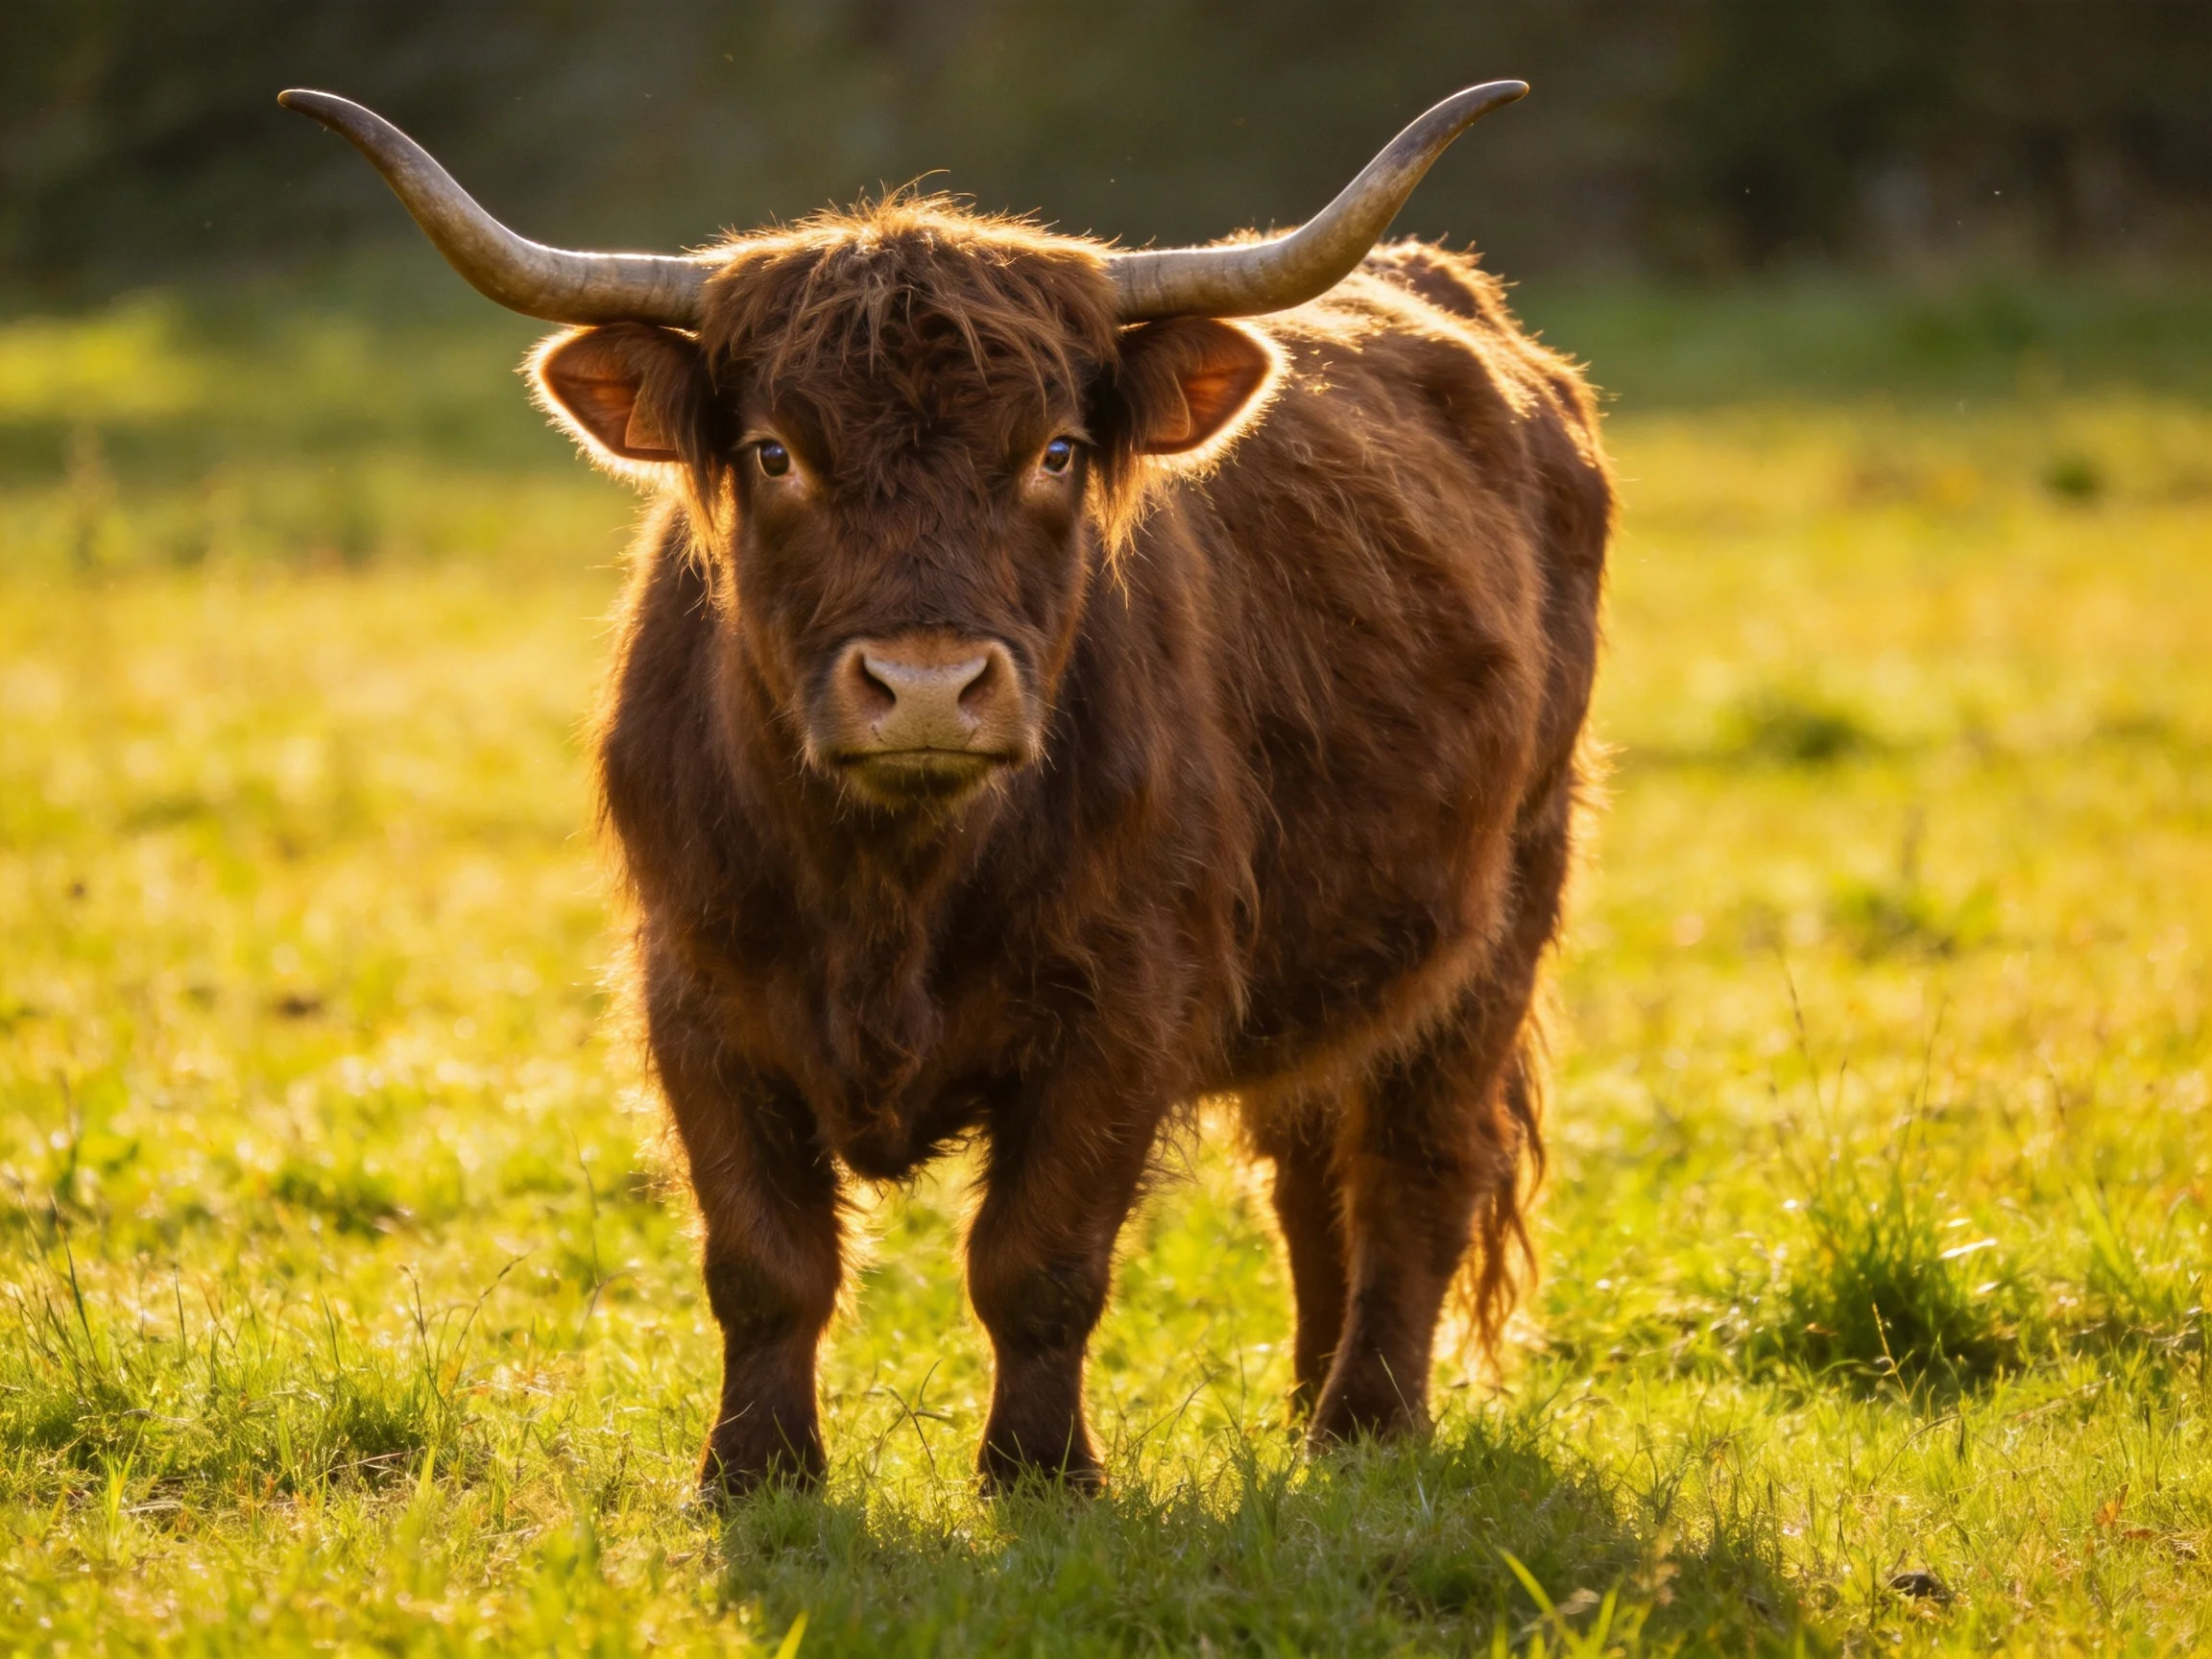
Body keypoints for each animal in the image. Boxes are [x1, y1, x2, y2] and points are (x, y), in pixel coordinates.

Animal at [282, 81, 1613, 1500]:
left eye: (1058, 449)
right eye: (773, 452)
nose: (926, 687)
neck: (889, 886)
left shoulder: (1128, 1001)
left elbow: (1038, 1264)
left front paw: (1040, 1472)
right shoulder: (695, 991)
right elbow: (763, 1264)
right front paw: (754, 1471)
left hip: (1504, 913)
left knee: (1417, 1162)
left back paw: (1370, 1427)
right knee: (1310, 1164)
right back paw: (1310, 1410)